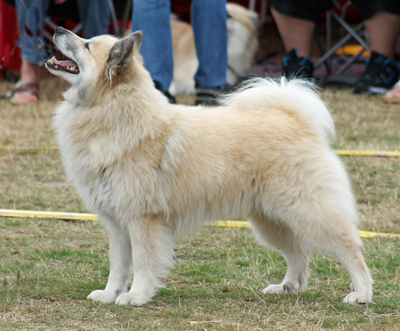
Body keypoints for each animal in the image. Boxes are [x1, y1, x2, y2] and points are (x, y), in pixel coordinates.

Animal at [46, 27, 372, 308]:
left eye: (87, 45)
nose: (58, 29)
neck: (112, 112)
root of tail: (294, 120)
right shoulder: (116, 224)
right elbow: (117, 265)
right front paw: (109, 294)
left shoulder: (142, 221)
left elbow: (142, 263)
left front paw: (136, 295)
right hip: (271, 220)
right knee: (299, 254)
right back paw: (287, 287)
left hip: (309, 213)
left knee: (349, 249)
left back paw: (361, 293)